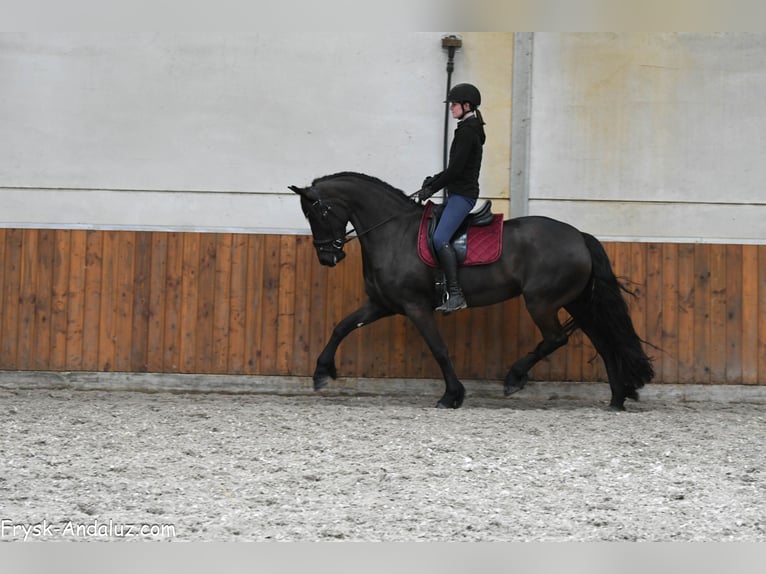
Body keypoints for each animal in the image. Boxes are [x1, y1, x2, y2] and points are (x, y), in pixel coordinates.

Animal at [289, 172, 654, 410]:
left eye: (318, 212)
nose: (328, 257)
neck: (393, 232)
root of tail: (579, 236)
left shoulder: (415, 306)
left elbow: (439, 349)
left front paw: (452, 395)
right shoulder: (382, 303)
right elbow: (342, 326)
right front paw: (321, 372)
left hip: (541, 302)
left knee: (555, 339)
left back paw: (514, 378)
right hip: (577, 302)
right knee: (605, 343)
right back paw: (617, 398)